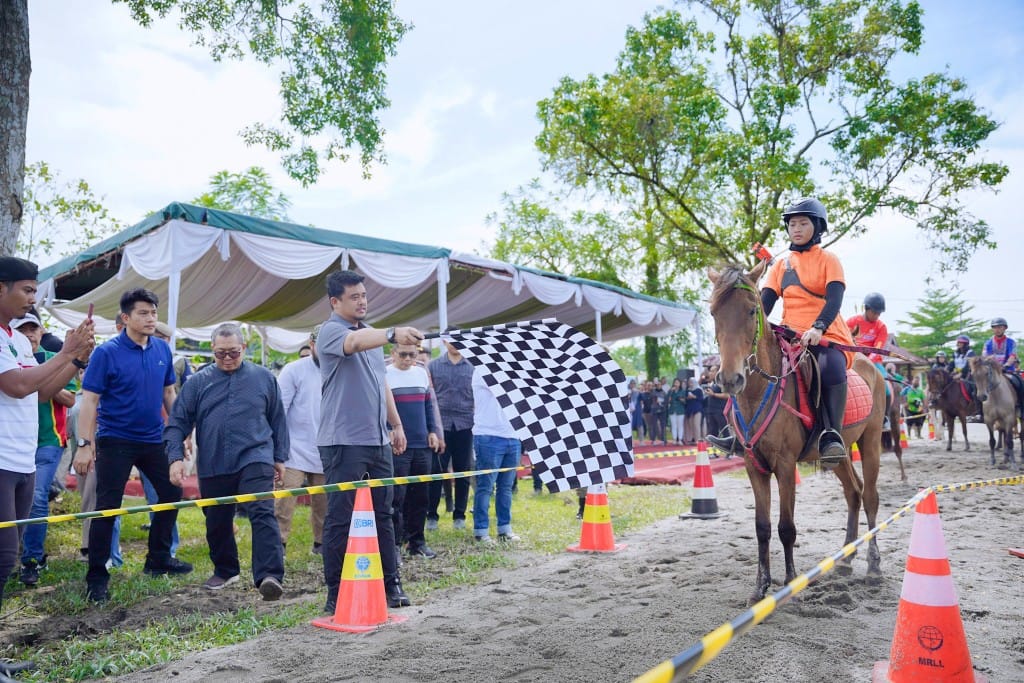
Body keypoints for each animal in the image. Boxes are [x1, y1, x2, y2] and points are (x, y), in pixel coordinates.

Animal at [708, 264, 884, 602]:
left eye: (752, 311)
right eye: (713, 313)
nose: (730, 379)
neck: (759, 392)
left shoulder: (785, 464)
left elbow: (786, 527)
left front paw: (790, 584)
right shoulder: (754, 465)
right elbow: (762, 526)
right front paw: (760, 587)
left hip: (871, 443)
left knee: (870, 497)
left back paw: (873, 566)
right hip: (838, 455)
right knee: (853, 492)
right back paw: (846, 559)